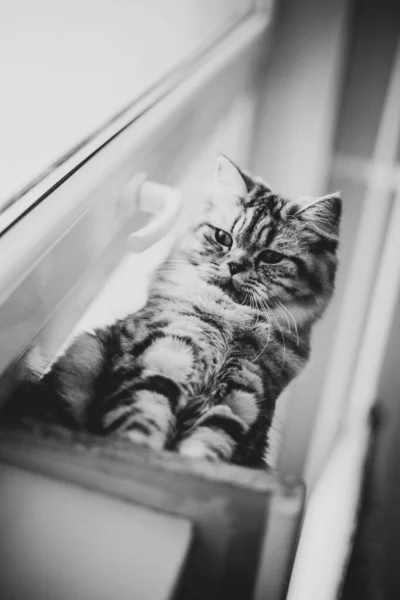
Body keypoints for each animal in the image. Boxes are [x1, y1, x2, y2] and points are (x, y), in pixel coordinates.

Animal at [5, 157, 340, 466]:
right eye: (223, 238)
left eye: (271, 257)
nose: (234, 266)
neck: (229, 323)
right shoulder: (160, 362)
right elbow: (140, 422)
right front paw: (138, 448)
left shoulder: (239, 401)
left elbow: (207, 449)